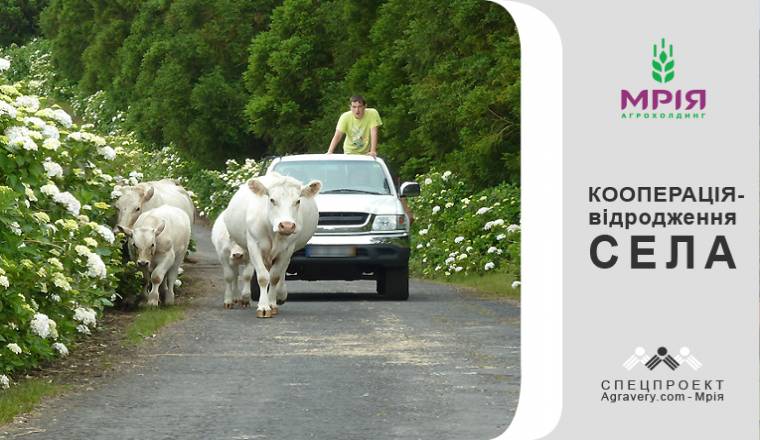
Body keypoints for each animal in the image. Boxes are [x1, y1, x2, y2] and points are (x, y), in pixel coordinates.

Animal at [223, 172, 321, 318]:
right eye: (272, 200)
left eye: (298, 201)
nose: (287, 225)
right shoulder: (254, 245)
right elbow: (263, 277)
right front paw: (263, 307)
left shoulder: (287, 249)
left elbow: (275, 276)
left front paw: (271, 304)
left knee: (283, 269)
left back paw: (280, 294)